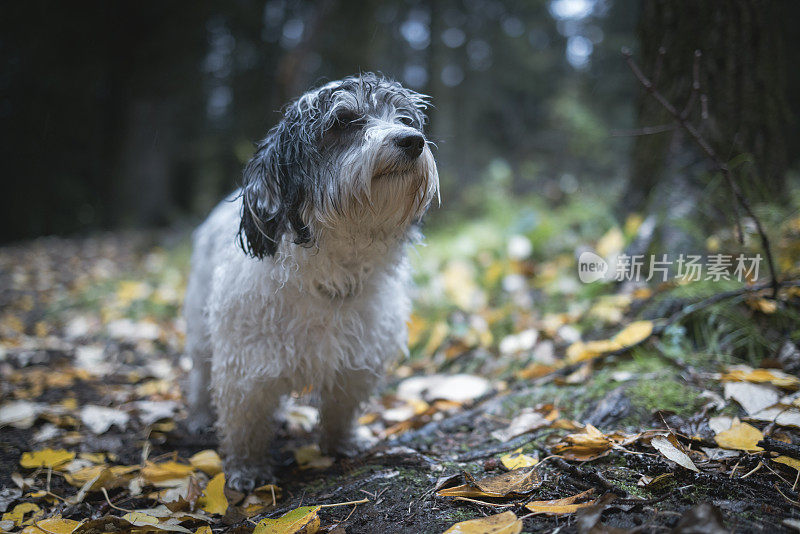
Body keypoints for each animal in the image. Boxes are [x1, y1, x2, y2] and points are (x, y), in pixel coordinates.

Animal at [185, 73, 440, 492]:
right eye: (343, 122)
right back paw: (199, 416)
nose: (412, 140)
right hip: (199, 328)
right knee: (199, 373)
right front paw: (247, 470)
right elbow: (245, 425)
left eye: (404, 119)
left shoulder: (356, 360)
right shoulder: (245, 367)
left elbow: (340, 409)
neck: (333, 272)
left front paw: (343, 445)